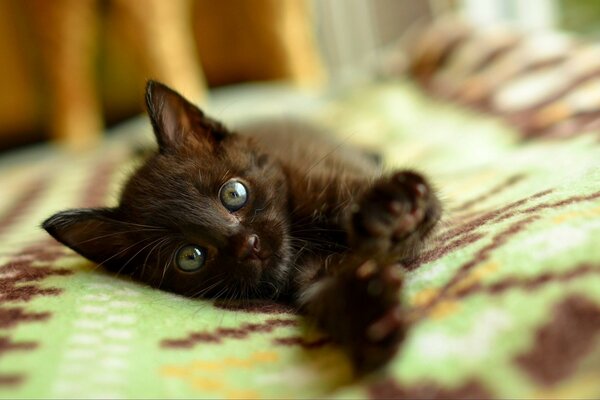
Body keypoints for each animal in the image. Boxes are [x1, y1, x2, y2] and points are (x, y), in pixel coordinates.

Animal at [44, 80, 440, 372]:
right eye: (190, 256)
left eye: (234, 194)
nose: (247, 244)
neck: (303, 239)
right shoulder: (313, 276)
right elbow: (329, 295)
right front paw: (369, 315)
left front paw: (393, 210)